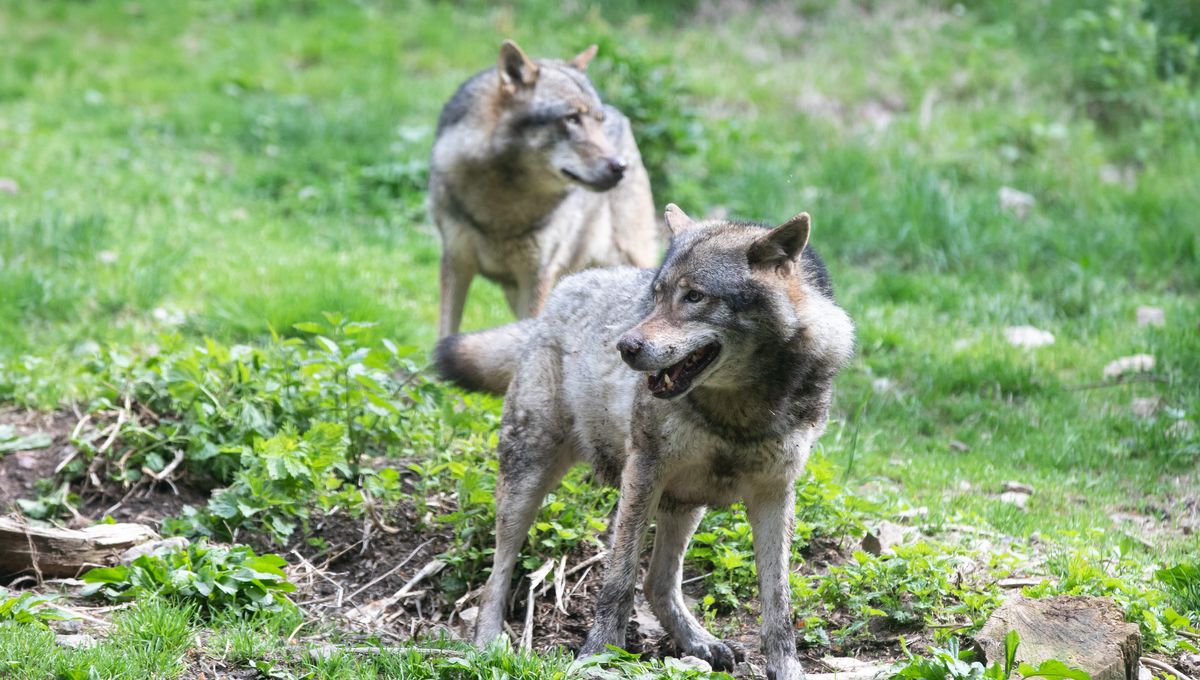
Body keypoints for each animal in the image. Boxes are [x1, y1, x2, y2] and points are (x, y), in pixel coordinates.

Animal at [428, 40, 658, 338]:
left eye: (598, 120)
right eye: (572, 119)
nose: (620, 166)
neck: (503, 198)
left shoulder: (537, 276)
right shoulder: (456, 266)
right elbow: (445, 333)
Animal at [434, 205, 855, 679]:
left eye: (694, 297)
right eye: (656, 296)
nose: (625, 346)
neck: (739, 410)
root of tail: (554, 301)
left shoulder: (775, 494)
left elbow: (778, 604)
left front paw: (788, 669)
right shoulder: (643, 470)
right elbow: (618, 580)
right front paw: (598, 655)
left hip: (686, 503)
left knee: (658, 583)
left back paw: (699, 642)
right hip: (528, 483)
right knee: (497, 573)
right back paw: (488, 643)